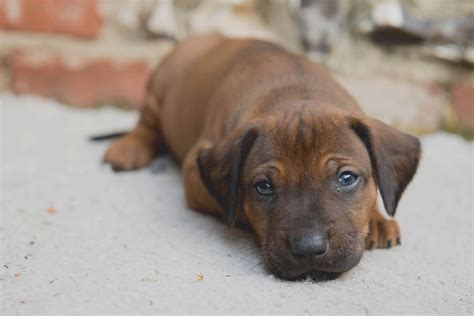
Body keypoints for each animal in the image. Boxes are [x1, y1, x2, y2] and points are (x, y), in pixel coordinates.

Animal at [104, 35, 422, 280]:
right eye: (264, 187)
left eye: (347, 178)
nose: (309, 250)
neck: (297, 91)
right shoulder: (195, 172)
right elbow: (236, 205)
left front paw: (377, 219)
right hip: (158, 90)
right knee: (146, 123)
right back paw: (128, 148)